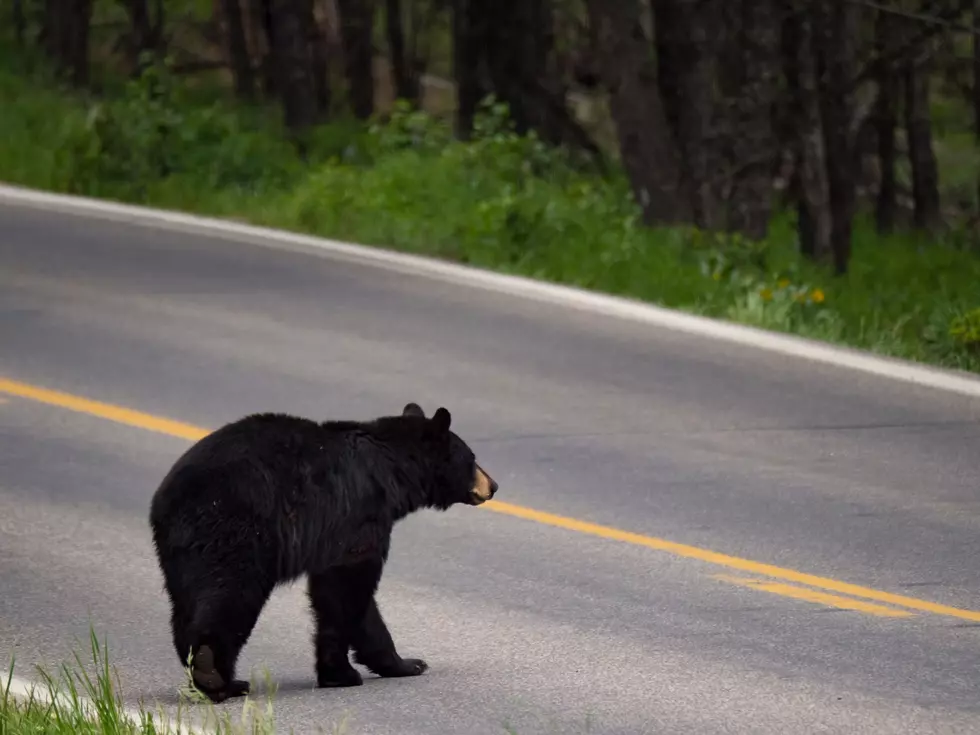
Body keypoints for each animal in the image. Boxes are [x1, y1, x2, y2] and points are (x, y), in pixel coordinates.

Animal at [148, 401, 498, 704]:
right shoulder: (359, 516)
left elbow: (344, 595)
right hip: (237, 532)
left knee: (185, 605)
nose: (493, 485)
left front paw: (405, 663)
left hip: (181, 553)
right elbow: (347, 587)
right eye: (472, 457)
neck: (391, 469)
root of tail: (170, 499)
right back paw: (216, 677)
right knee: (230, 595)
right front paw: (344, 672)